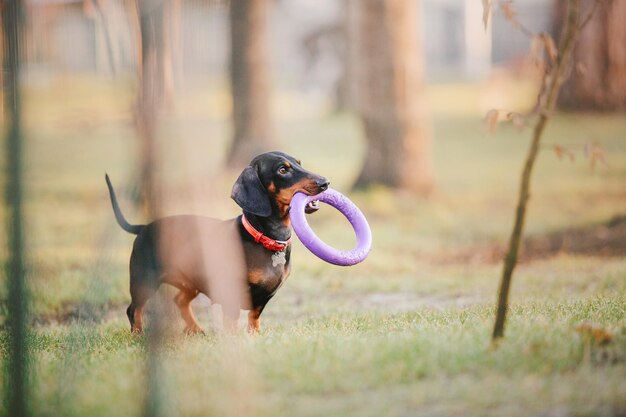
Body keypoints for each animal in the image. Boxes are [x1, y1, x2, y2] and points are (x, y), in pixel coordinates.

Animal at [103, 151, 326, 334]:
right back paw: (138, 335)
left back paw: (196, 329)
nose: (325, 182)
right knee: (134, 309)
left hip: (190, 281)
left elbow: (253, 319)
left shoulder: (262, 299)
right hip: (144, 282)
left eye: (299, 163)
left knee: (179, 300)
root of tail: (143, 227)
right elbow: (232, 323)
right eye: (282, 170)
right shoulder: (231, 295)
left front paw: (254, 337)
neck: (265, 238)